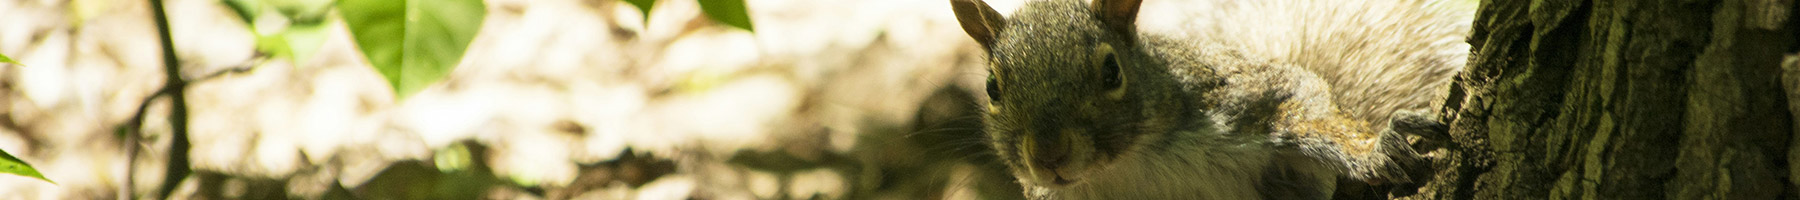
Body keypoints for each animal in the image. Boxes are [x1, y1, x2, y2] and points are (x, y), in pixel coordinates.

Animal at [950, 0, 1468, 198]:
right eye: (993, 87)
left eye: (1112, 71)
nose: (1049, 155)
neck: (1123, 170)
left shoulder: (1236, 96)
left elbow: (1304, 107)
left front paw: (1374, 149)